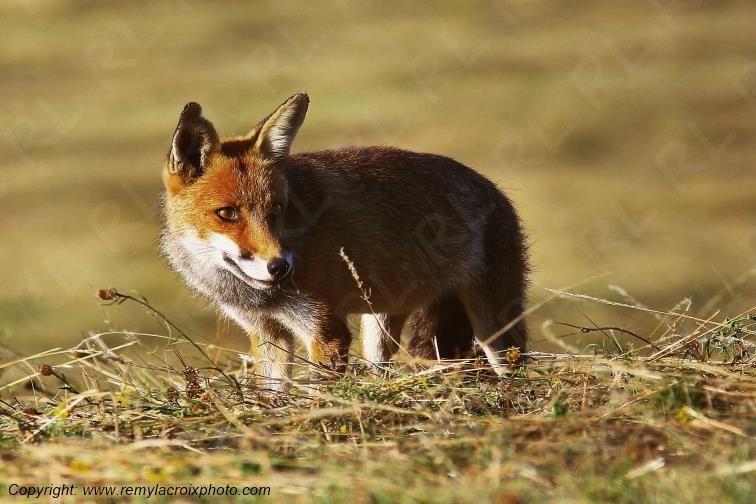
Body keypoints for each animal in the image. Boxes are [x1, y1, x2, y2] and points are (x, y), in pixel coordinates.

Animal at [160, 92, 528, 391]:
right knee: (381, 369)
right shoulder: (267, 334)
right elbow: (273, 395)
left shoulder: (325, 328)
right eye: (227, 214)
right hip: (378, 327)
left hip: (496, 329)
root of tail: (495, 190)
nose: (280, 267)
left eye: (276, 209)